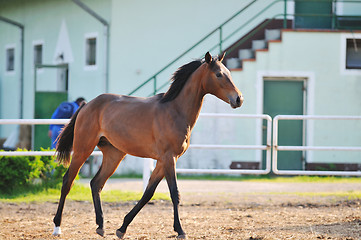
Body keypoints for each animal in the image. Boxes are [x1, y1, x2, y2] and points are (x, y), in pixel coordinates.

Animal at [52, 51, 243, 239]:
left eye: (229, 73)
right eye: (218, 74)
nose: (239, 99)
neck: (174, 110)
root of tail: (87, 105)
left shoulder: (163, 161)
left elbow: (148, 193)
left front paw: (122, 228)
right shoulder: (169, 158)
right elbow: (174, 193)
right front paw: (180, 230)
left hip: (114, 155)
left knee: (96, 183)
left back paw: (100, 226)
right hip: (83, 149)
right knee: (67, 181)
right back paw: (57, 226)